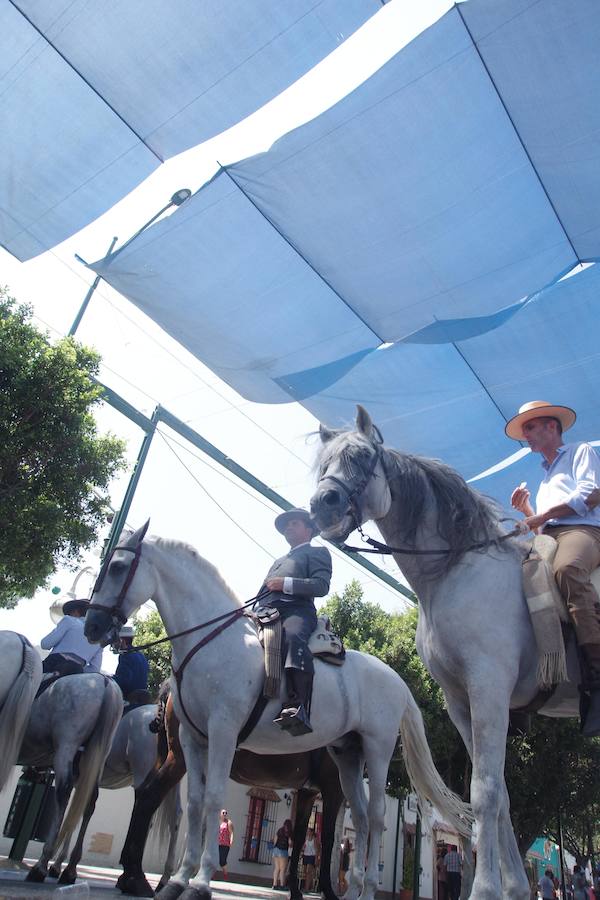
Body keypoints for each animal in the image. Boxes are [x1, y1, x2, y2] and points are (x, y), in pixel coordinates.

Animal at [16, 672, 122, 884]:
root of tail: (105, 682)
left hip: (67, 746)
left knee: (63, 794)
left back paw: (41, 865)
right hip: (97, 756)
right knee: (87, 802)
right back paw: (69, 868)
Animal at [49, 704, 182, 892]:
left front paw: (63, 867)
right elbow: (75, 814)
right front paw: (59, 864)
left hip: (143, 773)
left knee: (144, 809)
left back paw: (131, 873)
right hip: (171, 777)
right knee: (175, 817)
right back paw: (163, 878)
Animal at [84, 532, 474, 900]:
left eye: (118, 567)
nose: (92, 626)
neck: (211, 642)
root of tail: (397, 680)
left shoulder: (224, 732)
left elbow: (215, 800)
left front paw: (201, 882)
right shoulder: (193, 740)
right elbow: (196, 804)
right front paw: (179, 881)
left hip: (377, 750)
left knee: (376, 818)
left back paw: (366, 891)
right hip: (348, 755)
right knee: (362, 819)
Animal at [308, 406, 584, 900]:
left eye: (361, 457)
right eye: (325, 462)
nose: (322, 504)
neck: (455, 571)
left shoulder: (489, 687)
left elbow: (485, 791)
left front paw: (485, 888)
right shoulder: (461, 702)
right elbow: (500, 794)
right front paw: (513, 887)